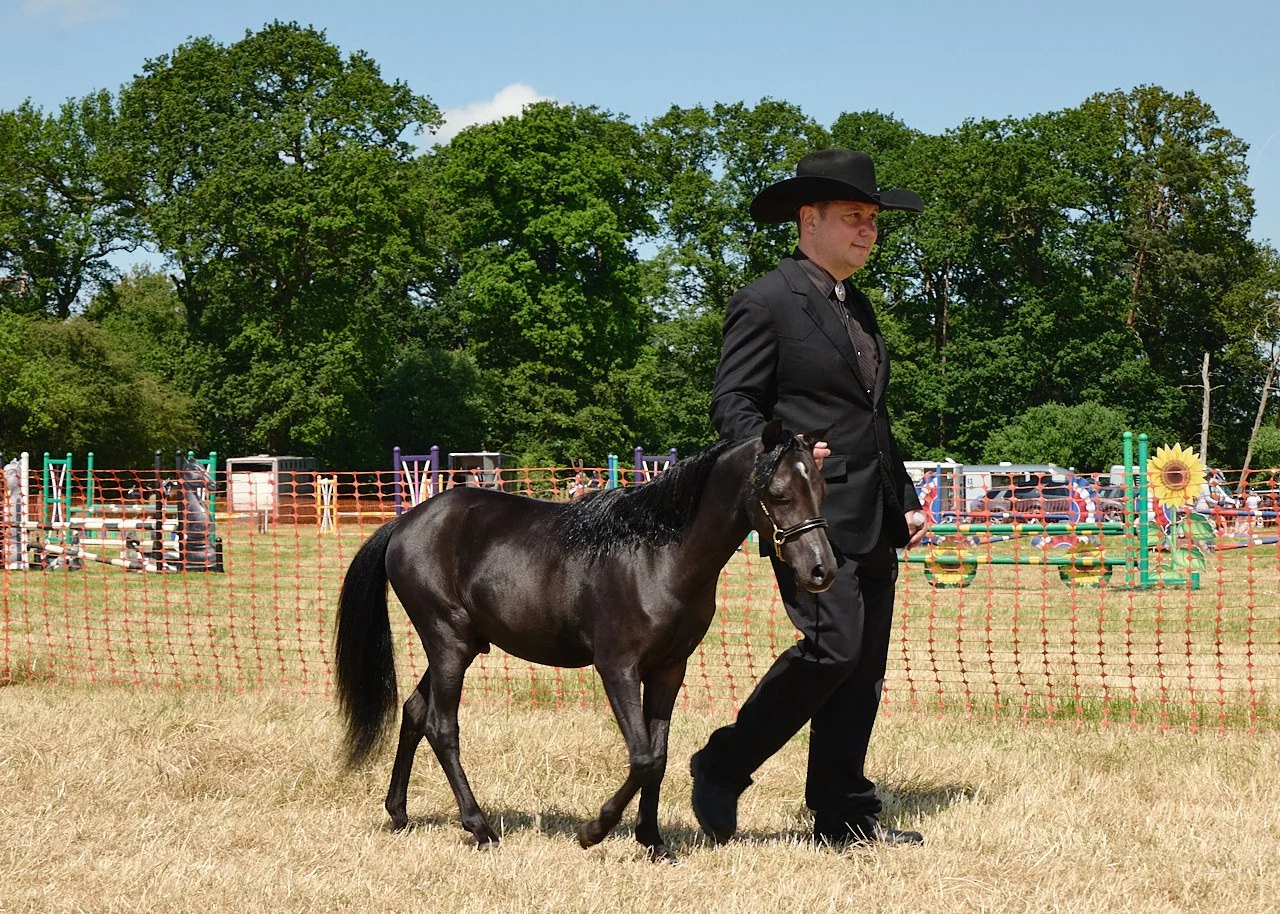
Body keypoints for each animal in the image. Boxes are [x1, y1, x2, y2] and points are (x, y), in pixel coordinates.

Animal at [334, 420, 835, 862]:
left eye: (821, 489)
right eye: (779, 494)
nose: (821, 570)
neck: (658, 555)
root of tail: (403, 525)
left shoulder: (668, 670)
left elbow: (658, 756)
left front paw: (653, 842)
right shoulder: (617, 667)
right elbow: (642, 757)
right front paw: (594, 830)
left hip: (461, 646)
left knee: (415, 711)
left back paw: (399, 812)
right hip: (447, 642)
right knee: (441, 726)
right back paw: (480, 828)